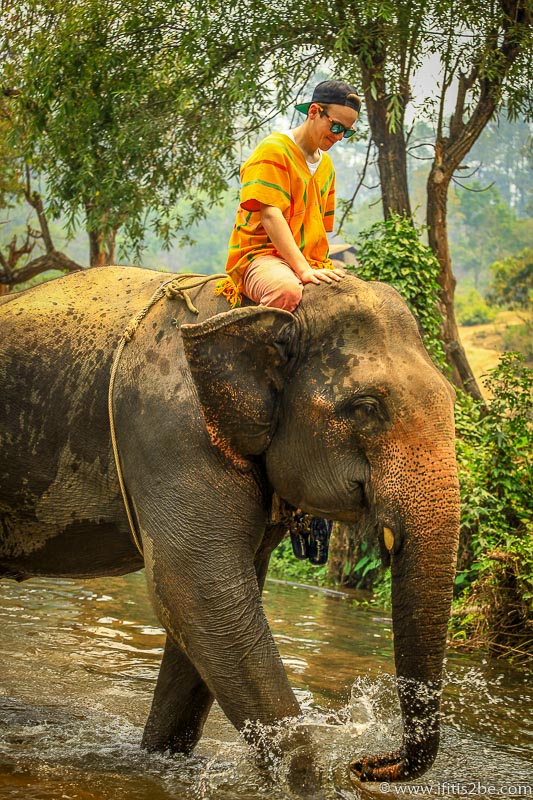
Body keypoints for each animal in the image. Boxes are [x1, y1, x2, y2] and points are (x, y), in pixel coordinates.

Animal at [0, 268, 458, 792]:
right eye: (366, 407)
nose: (367, 763)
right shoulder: (175, 432)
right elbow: (196, 593)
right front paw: (317, 786)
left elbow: (214, 612)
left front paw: (161, 761)